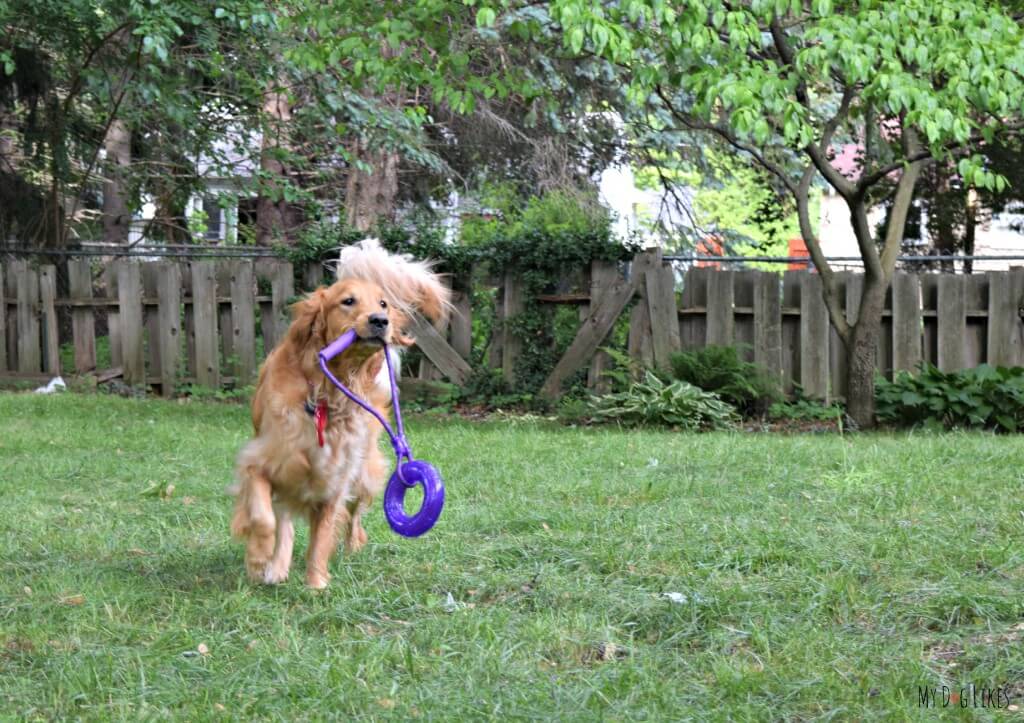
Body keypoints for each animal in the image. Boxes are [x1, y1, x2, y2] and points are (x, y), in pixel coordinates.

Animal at [232, 236, 448, 585]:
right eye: (348, 301)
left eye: (383, 304)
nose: (380, 320)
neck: (323, 394)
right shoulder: (259, 463)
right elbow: (264, 517)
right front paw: (259, 559)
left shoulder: (334, 480)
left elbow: (321, 537)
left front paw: (316, 585)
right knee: (285, 519)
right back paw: (277, 567)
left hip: (364, 473)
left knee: (354, 517)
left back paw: (351, 547)